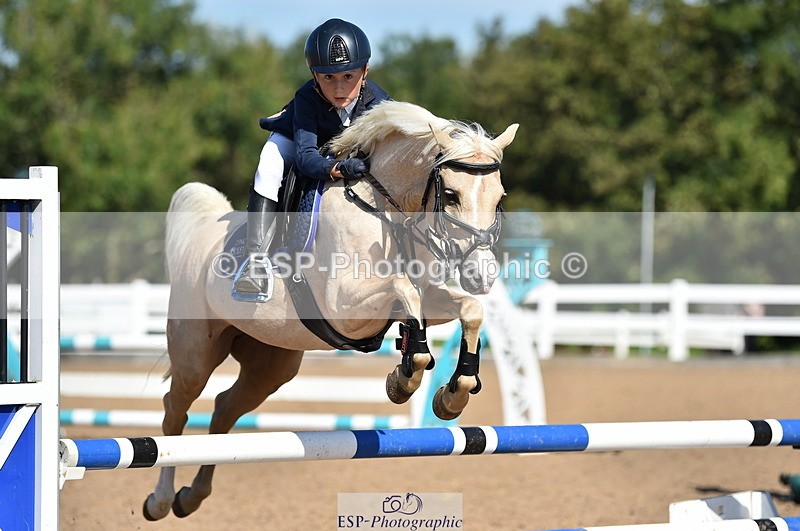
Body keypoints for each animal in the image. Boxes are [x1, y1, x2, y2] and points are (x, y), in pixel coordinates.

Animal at [143, 100, 518, 520]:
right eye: (451, 195)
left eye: (499, 198)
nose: (482, 275)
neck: (386, 210)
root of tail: (202, 233)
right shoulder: (346, 307)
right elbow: (405, 292)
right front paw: (405, 378)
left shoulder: (421, 299)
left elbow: (468, 309)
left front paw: (453, 394)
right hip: (195, 353)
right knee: (176, 409)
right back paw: (160, 500)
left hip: (270, 363)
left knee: (224, 409)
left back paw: (191, 497)